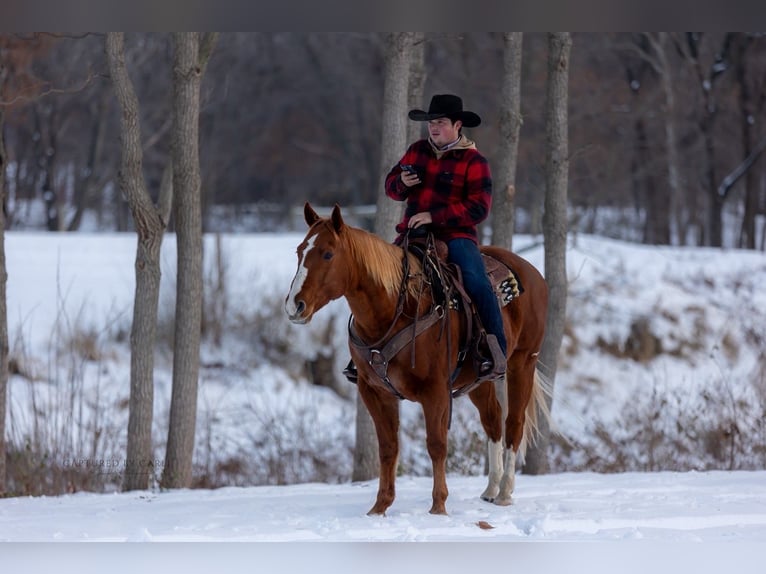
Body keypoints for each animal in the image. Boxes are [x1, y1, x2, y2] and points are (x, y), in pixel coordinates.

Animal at [285, 202, 550, 515]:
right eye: (299, 251)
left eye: (328, 253)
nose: (294, 306)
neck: (398, 309)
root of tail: (532, 272)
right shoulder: (374, 391)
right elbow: (388, 447)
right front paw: (380, 507)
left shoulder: (435, 391)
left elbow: (436, 444)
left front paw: (438, 507)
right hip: (478, 379)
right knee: (493, 421)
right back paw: (490, 489)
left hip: (523, 362)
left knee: (514, 424)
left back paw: (505, 492)